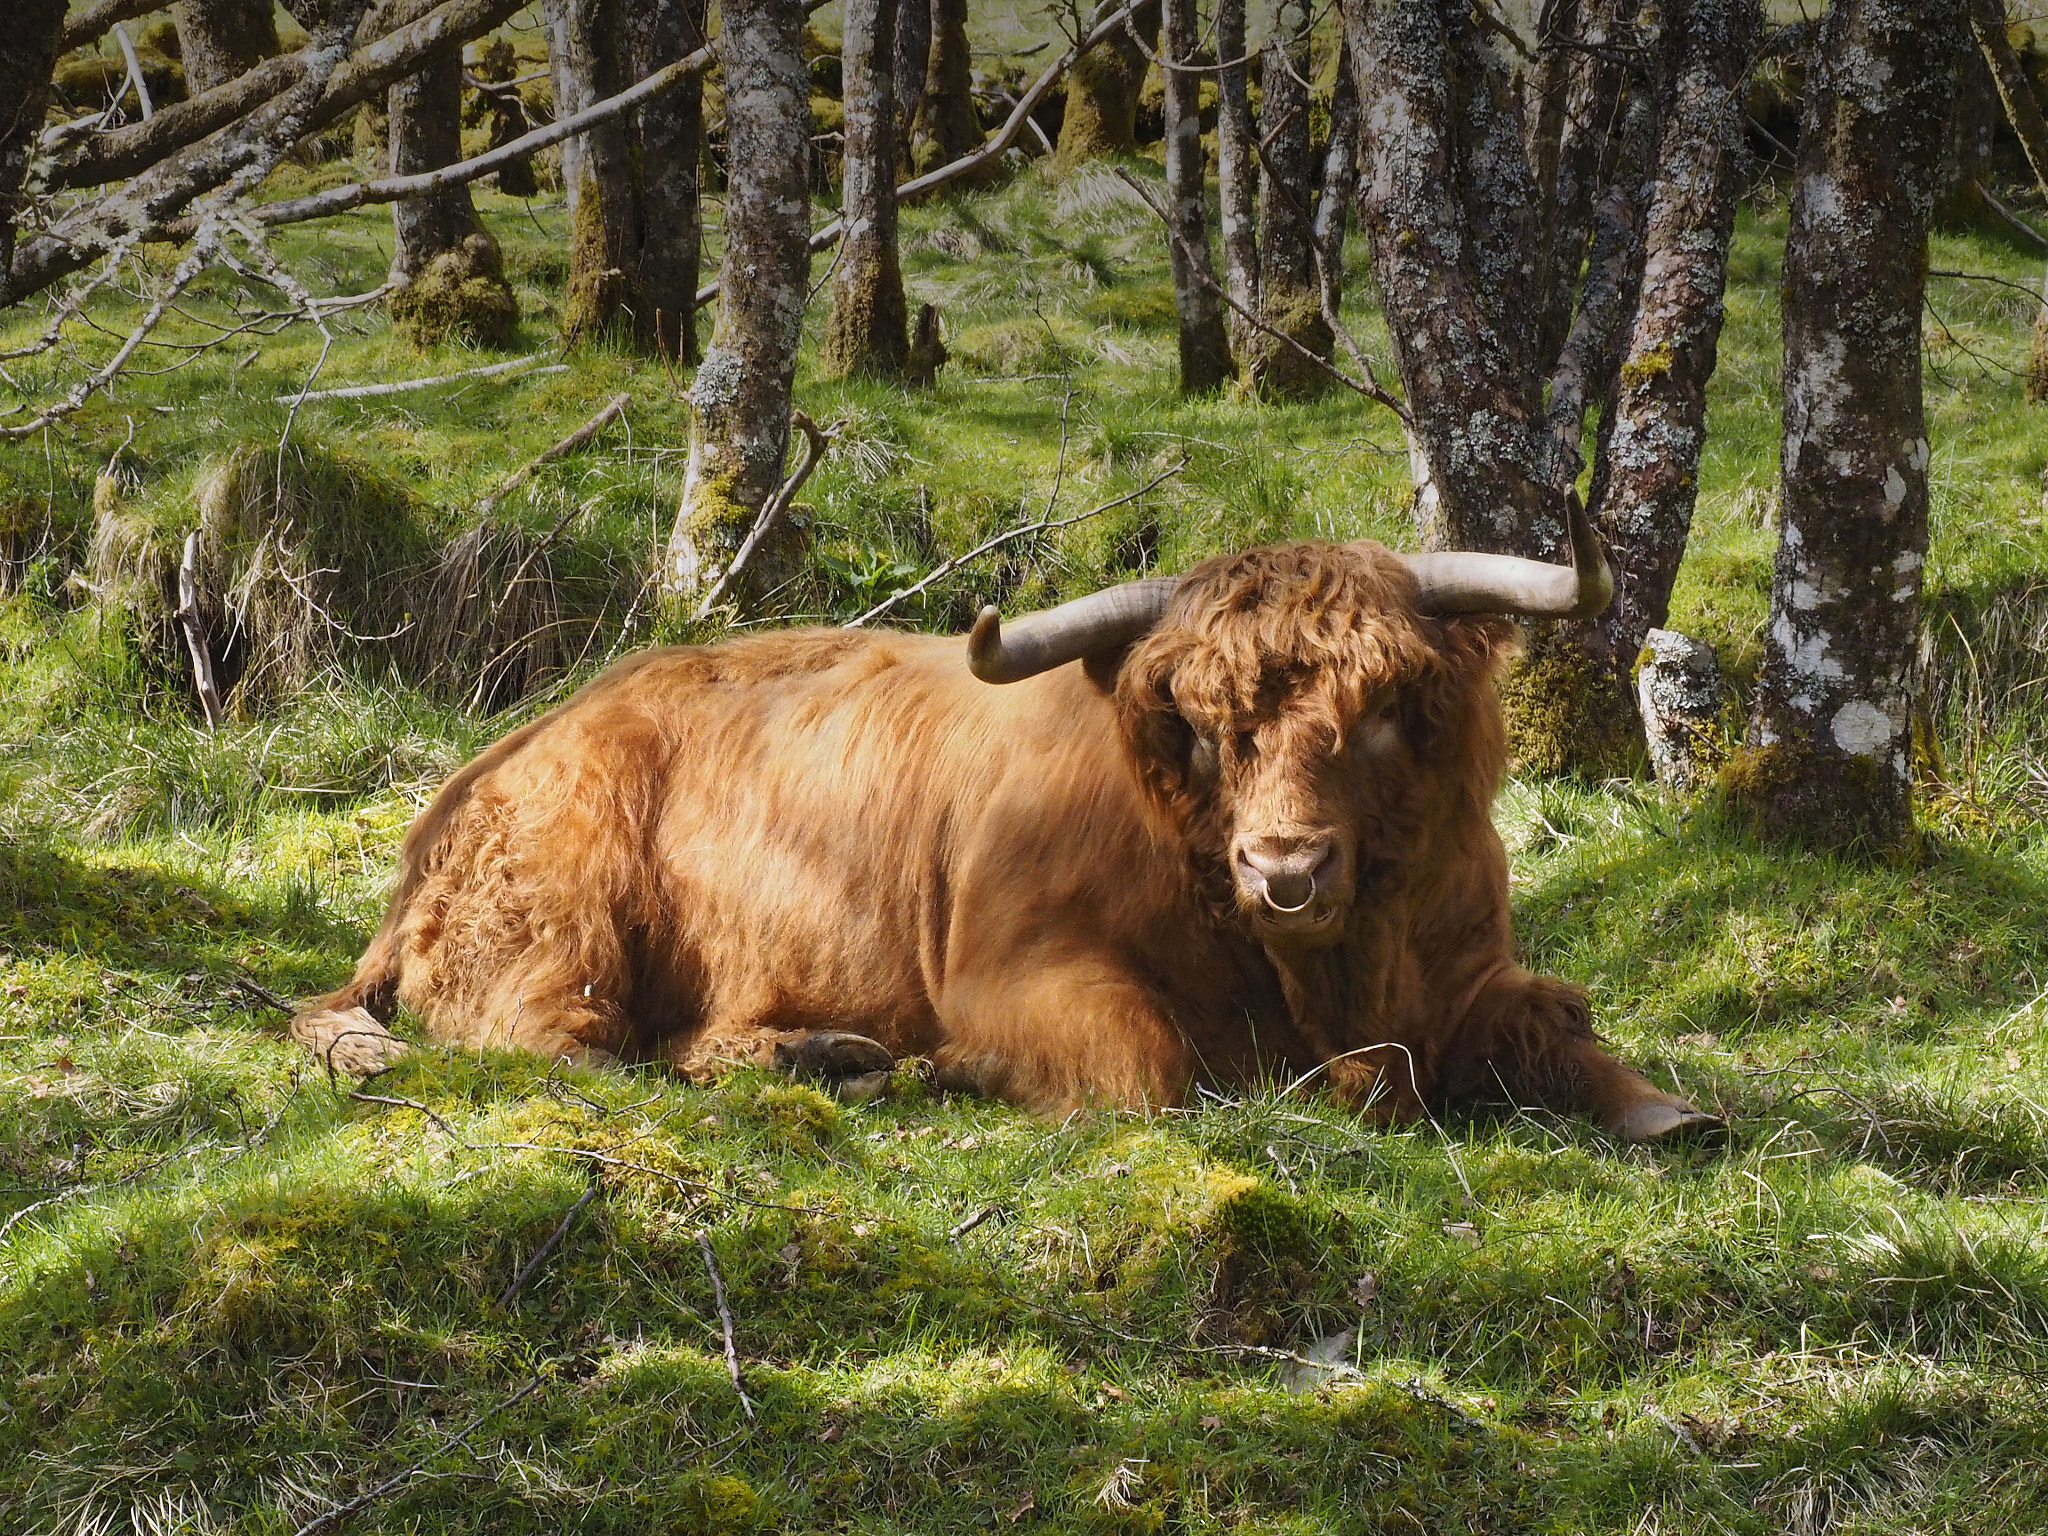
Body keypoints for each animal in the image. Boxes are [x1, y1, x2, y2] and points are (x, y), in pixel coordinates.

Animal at [291, 501, 1720, 1142]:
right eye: (1203, 724)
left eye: (1378, 712)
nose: (1284, 865)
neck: (1331, 981)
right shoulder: (1022, 969)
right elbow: (1146, 1069)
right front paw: (949, 1070)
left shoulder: (1466, 964)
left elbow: (1554, 1019)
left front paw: (1668, 1110)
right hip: (564, 920)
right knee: (562, 1041)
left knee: (686, 1038)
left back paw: (817, 1052)